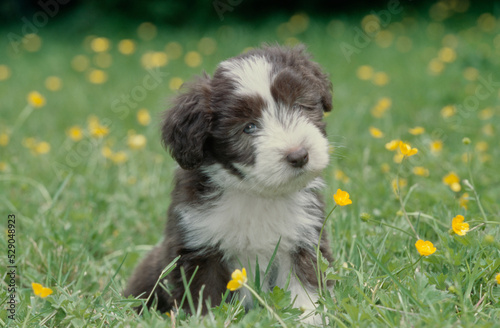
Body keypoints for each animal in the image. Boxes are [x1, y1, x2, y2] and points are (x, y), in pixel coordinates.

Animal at [124, 44, 332, 322]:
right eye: (248, 128)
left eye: (299, 106)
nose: (299, 155)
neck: (255, 193)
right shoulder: (199, 247)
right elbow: (204, 295)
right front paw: (207, 322)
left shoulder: (303, 237)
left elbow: (305, 286)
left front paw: (309, 318)